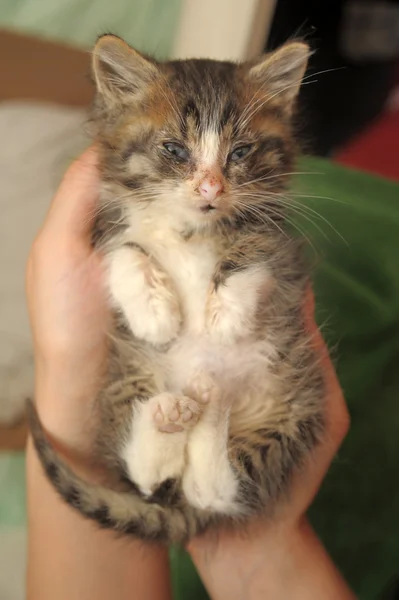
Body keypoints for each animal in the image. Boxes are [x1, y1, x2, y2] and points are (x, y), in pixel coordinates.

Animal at [29, 34, 326, 544]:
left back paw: (211, 405)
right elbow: (124, 251)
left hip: (293, 414)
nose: (210, 188)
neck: (191, 228)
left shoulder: (275, 231)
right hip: (127, 379)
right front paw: (155, 313)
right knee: (152, 477)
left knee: (215, 490)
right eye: (174, 149)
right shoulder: (104, 223)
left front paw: (224, 317)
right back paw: (172, 416)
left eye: (240, 153)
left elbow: (253, 251)